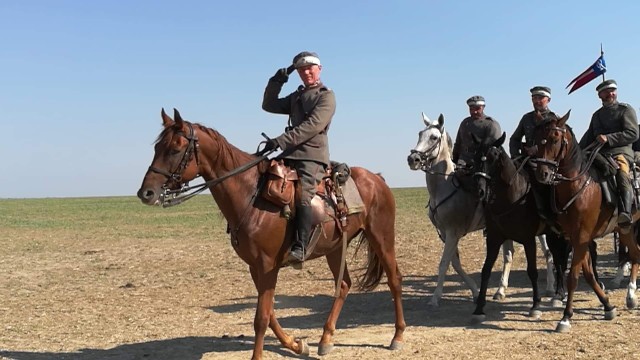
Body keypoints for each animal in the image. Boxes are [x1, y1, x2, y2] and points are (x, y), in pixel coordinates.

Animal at [136, 109, 404, 360]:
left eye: (175, 148)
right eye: (157, 147)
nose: (146, 193)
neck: (250, 194)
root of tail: (377, 178)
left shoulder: (267, 266)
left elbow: (261, 318)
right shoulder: (255, 267)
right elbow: (270, 313)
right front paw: (297, 344)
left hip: (382, 237)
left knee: (394, 280)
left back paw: (397, 336)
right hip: (335, 248)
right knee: (344, 285)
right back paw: (326, 339)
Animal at [410, 113, 556, 306]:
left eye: (434, 137)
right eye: (420, 134)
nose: (413, 159)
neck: (444, 186)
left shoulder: (452, 232)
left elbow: (444, 263)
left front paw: (435, 298)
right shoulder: (445, 233)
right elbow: (455, 263)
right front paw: (475, 290)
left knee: (547, 253)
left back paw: (550, 288)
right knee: (509, 254)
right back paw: (500, 291)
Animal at [528, 109, 640, 332]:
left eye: (555, 138)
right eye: (536, 139)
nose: (543, 174)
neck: (579, 185)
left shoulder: (581, 237)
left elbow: (573, 276)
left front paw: (565, 317)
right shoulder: (576, 237)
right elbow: (587, 273)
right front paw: (607, 306)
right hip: (625, 229)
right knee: (635, 254)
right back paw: (631, 295)